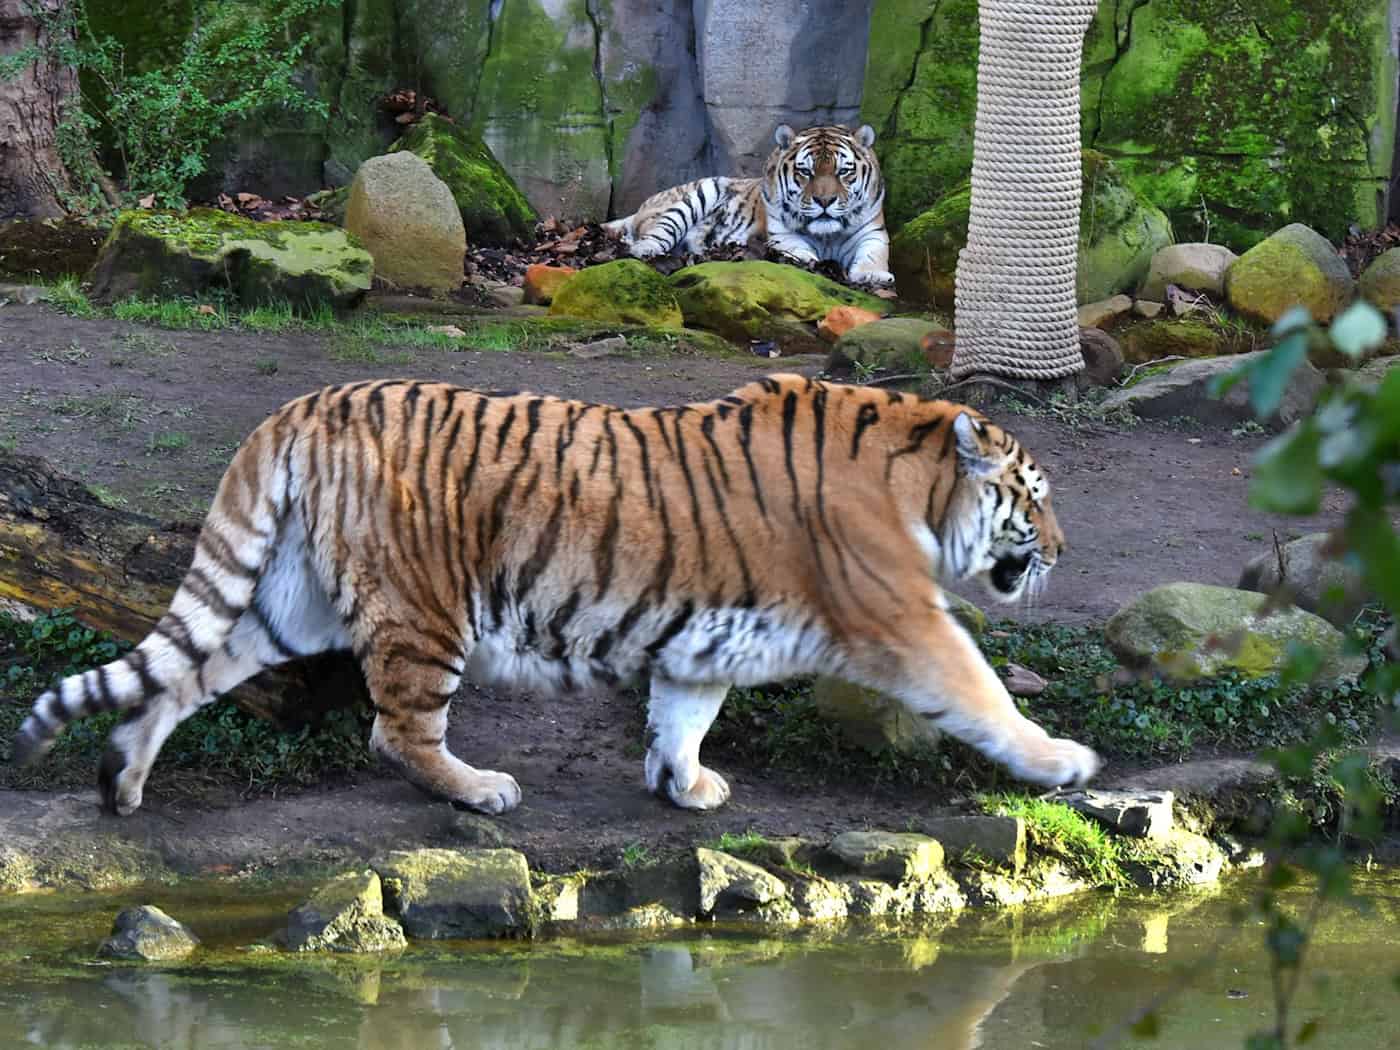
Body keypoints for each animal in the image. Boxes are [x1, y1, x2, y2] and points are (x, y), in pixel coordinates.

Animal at [12, 376, 1100, 817]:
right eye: (1037, 499)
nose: (1060, 550)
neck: (921, 484)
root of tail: (303, 407)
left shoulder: (707, 633)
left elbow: (683, 714)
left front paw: (684, 785)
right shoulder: (904, 617)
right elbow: (978, 690)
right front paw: (1060, 761)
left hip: (287, 603)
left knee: (183, 678)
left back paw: (122, 779)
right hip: (425, 607)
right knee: (393, 732)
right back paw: (479, 791)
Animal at [604, 124, 894, 288]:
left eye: (843, 171)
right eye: (806, 172)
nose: (825, 201)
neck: (827, 235)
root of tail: (643, 207)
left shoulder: (873, 233)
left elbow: (873, 254)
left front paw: (872, 276)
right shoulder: (782, 236)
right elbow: (802, 252)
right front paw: (817, 264)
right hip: (700, 192)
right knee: (658, 232)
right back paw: (645, 250)